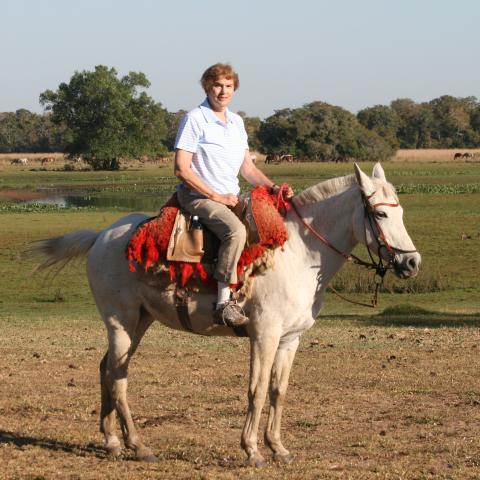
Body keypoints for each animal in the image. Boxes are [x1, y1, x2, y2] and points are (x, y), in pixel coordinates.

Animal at [31, 163, 420, 466]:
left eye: (401, 212)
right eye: (381, 214)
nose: (412, 263)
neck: (299, 252)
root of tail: (101, 237)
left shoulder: (289, 339)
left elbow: (278, 391)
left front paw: (278, 448)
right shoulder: (264, 334)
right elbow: (257, 390)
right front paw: (252, 450)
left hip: (140, 321)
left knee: (106, 370)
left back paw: (112, 442)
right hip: (120, 322)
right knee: (117, 376)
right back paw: (137, 446)